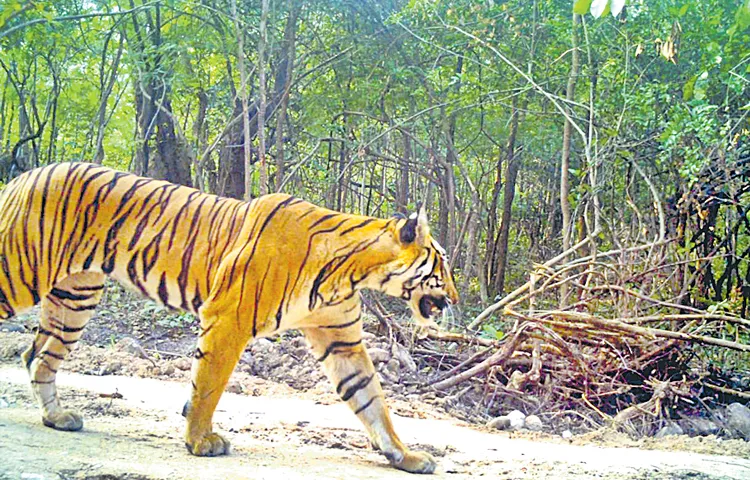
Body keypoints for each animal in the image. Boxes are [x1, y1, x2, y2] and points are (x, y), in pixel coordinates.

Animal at [0, 163, 458, 474]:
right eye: (443, 264)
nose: (455, 298)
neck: (352, 272)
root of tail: (24, 175)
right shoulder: (227, 318)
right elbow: (208, 386)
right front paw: (200, 441)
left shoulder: (341, 340)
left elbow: (371, 399)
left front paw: (404, 455)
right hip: (20, 274)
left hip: (75, 296)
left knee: (37, 358)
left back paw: (57, 418)